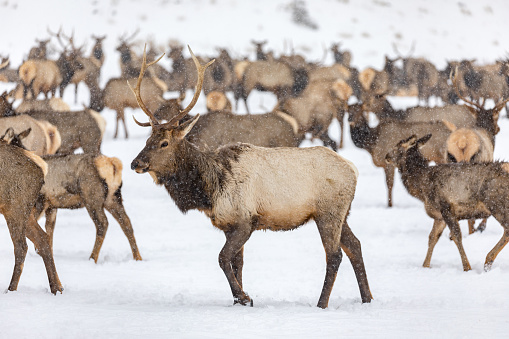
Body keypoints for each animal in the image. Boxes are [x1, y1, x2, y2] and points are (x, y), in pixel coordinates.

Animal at [0, 135, 62, 294]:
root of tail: (42, 166)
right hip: (22, 212)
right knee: (43, 239)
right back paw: (57, 288)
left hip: (16, 208)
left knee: (22, 247)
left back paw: (11, 289)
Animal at [1, 127, 142, 262]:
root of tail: (113, 165)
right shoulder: (52, 206)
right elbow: (49, 229)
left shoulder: (40, 201)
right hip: (113, 198)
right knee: (126, 222)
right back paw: (138, 257)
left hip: (92, 197)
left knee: (103, 223)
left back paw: (92, 258)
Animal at [129, 46, 372, 310]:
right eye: (147, 140)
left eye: (164, 143)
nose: (135, 163)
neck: (209, 190)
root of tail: (353, 169)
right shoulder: (228, 224)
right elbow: (237, 263)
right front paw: (239, 301)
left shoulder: (246, 220)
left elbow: (222, 258)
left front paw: (245, 297)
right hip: (342, 213)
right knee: (356, 245)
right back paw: (367, 298)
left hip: (328, 212)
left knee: (335, 254)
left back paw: (322, 303)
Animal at [388, 134, 509, 272]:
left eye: (397, 146)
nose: (386, 156)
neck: (421, 188)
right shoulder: (439, 216)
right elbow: (432, 237)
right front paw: (425, 266)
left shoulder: (446, 207)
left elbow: (456, 236)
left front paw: (467, 268)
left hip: (496, 203)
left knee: (507, 229)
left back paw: (488, 260)